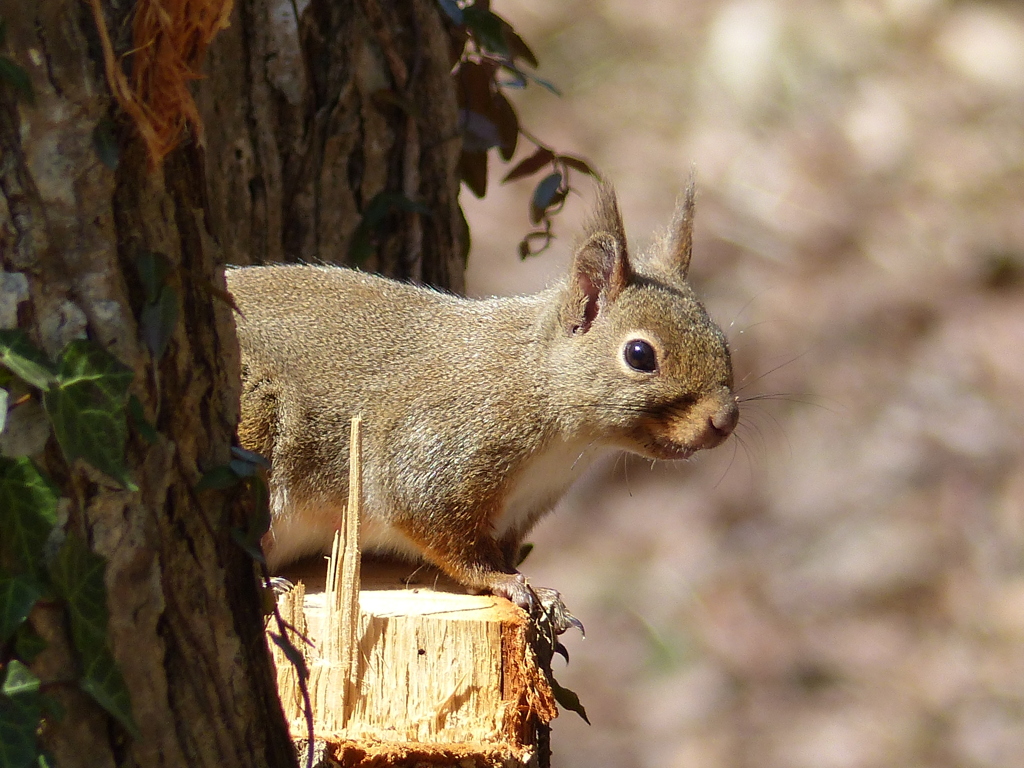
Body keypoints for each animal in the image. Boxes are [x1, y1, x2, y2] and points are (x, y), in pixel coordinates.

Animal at [226, 183, 737, 626]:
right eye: (639, 355)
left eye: (722, 340)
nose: (725, 420)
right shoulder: (436, 454)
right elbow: (443, 536)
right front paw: (505, 583)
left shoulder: (520, 511)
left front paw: (547, 599)